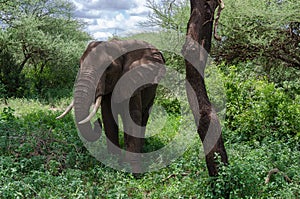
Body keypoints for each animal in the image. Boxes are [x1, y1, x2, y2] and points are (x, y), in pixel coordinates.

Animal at [57, 39, 165, 175]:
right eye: (79, 65)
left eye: (108, 68)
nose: (96, 122)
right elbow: (108, 117)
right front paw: (114, 162)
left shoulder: (132, 81)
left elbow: (133, 116)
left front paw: (135, 173)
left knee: (144, 116)